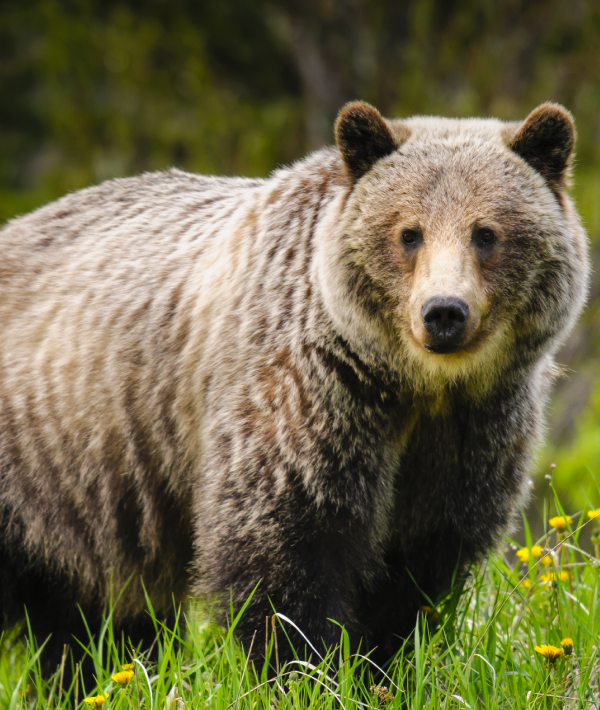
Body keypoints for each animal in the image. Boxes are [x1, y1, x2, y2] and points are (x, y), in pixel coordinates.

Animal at [0, 100, 589, 669]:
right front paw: (306, 668)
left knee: (89, 625)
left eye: (485, 233)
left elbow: (414, 570)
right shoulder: (308, 399)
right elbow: (287, 550)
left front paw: (386, 664)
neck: (413, 386)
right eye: (409, 233)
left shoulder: (471, 432)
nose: (444, 312)